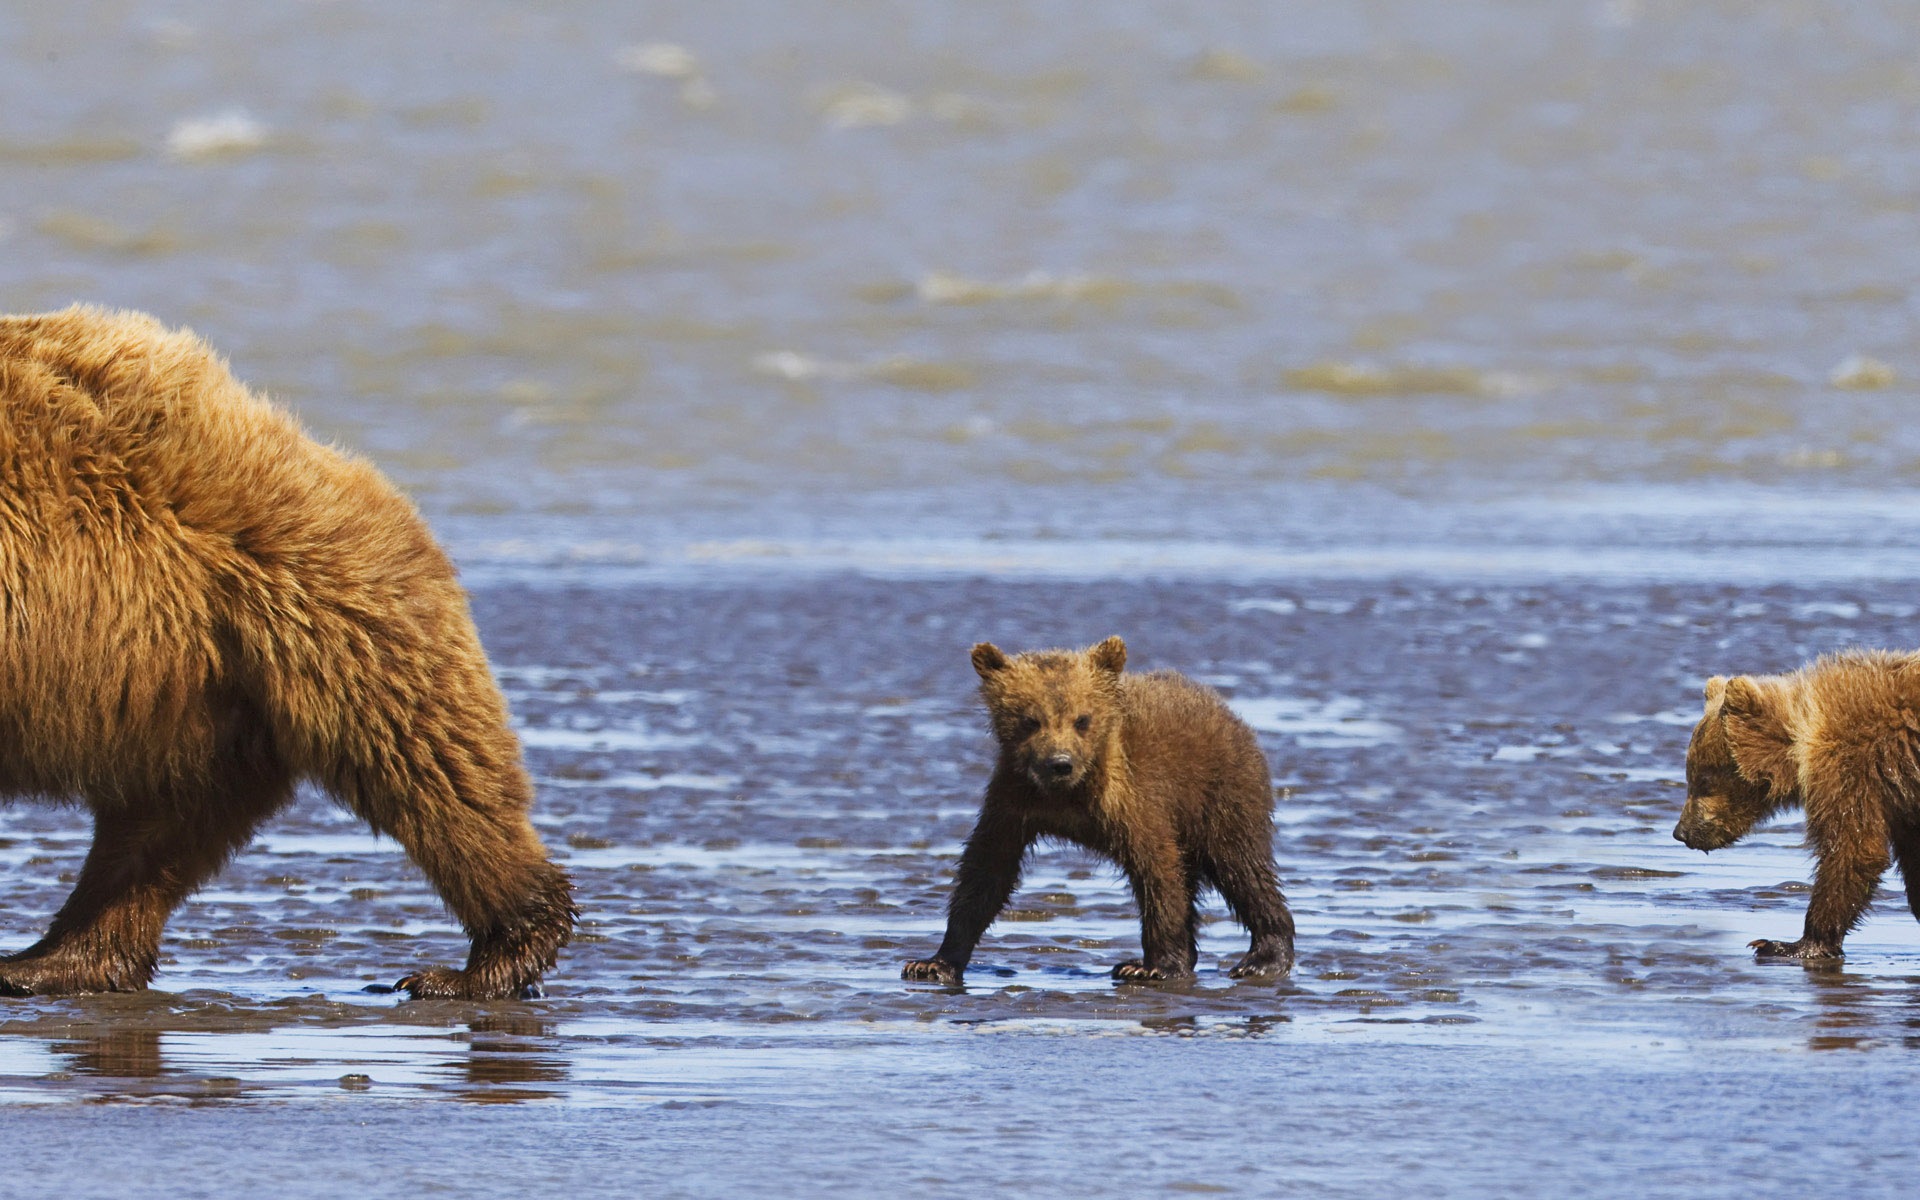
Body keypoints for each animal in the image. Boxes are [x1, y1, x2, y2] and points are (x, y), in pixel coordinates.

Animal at [0, 303, 572, 998]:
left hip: (303, 602)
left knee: (430, 765)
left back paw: (480, 960)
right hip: (194, 689)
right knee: (162, 824)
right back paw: (57, 957)